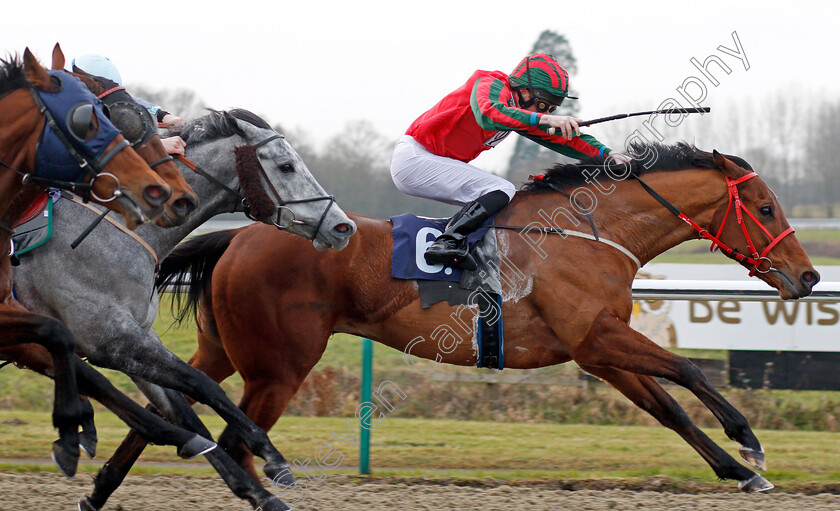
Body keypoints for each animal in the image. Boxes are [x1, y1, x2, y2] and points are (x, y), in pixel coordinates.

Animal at [12, 106, 354, 510]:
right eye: (286, 166)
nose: (343, 226)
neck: (115, 227)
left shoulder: (135, 342)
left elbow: (187, 410)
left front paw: (258, 490)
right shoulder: (108, 339)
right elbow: (203, 386)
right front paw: (269, 456)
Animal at [101, 142, 816, 498]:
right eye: (765, 207)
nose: (807, 277)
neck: (588, 231)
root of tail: (238, 234)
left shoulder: (597, 351)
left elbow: (669, 409)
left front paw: (741, 470)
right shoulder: (599, 337)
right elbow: (690, 369)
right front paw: (749, 443)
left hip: (223, 353)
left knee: (174, 412)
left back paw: (99, 488)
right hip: (278, 368)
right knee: (239, 441)